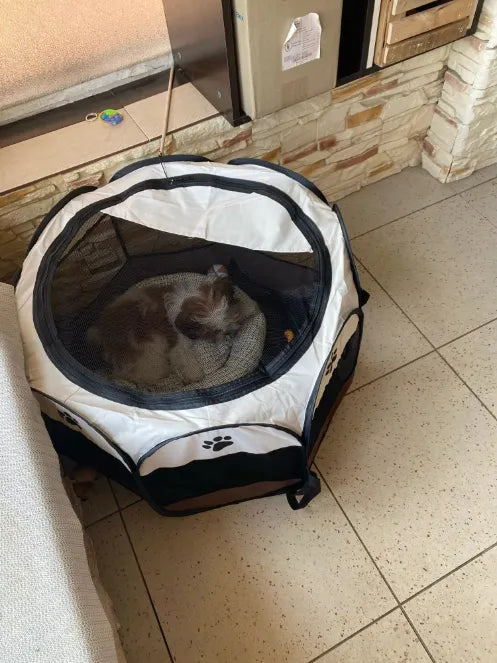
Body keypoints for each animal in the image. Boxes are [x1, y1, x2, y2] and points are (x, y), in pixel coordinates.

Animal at [87, 266, 257, 388]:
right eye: (210, 332)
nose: (227, 334)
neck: (185, 302)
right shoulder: (178, 342)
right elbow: (184, 357)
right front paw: (195, 375)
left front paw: (249, 309)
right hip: (150, 351)